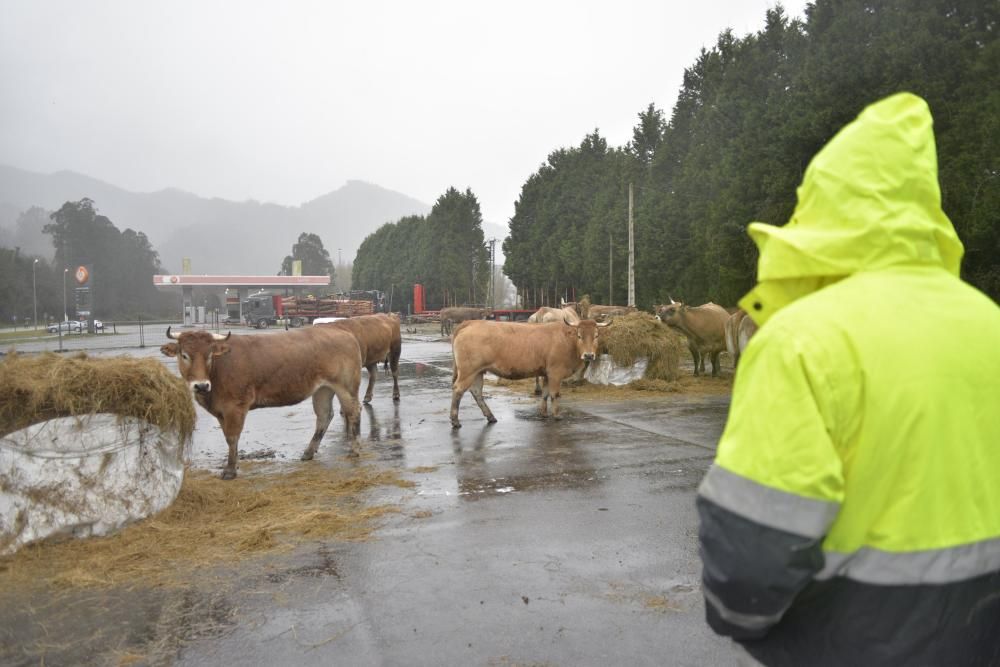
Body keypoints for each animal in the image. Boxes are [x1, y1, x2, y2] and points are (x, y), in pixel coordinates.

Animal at [156, 324, 360, 478]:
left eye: (209, 355)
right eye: (184, 355)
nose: (201, 386)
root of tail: (343, 332)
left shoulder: (236, 407)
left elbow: (232, 437)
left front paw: (230, 470)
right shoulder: (221, 412)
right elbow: (227, 437)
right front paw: (234, 463)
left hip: (346, 387)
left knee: (354, 413)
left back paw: (354, 450)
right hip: (323, 389)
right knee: (324, 416)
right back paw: (308, 453)